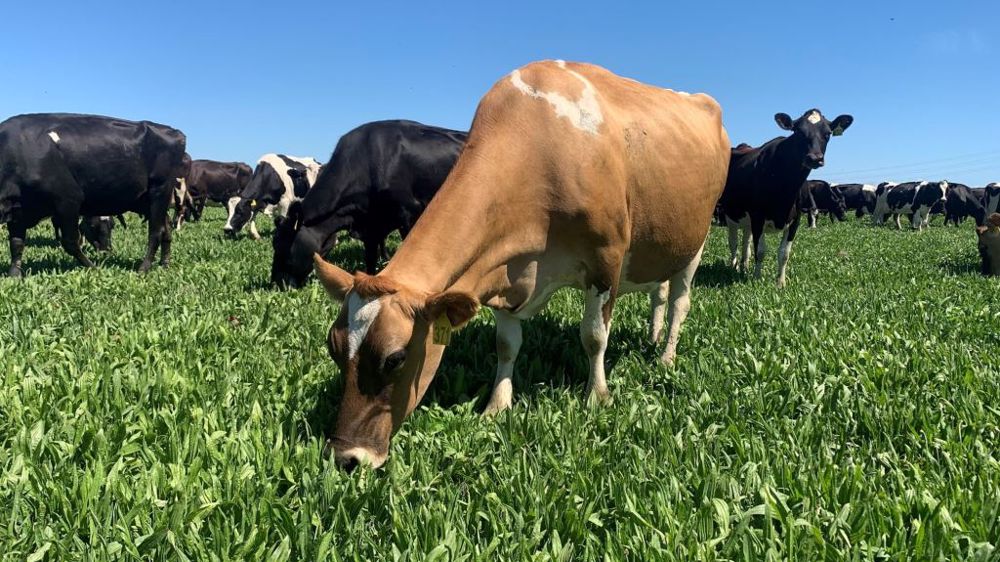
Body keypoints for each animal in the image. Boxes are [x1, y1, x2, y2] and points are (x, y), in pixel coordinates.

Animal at [0, 113, 186, 276]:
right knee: (166, 227)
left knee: (156, 231)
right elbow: (16, 243)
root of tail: (173, 131)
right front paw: (14, 275)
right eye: (94, 227)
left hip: (160, 191)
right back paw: (164, 263)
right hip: (145, 200)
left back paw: (144, 268)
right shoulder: (18, 209)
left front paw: (93, 267)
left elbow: (70, 242)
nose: (106, 251)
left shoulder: (68, 200)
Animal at [313, 60, 730, 470]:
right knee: (659, 292)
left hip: (695, 242)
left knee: (679, 302)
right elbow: (506, 344)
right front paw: (497, 405)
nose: (346, 457)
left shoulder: (606, 260)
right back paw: (654, 336)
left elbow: (594, 336)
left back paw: (666, 356)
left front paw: (597, 396)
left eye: (395, 358)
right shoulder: (502, 272)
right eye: (334, 348)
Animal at [718, 109, 853, 286]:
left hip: (747, 219)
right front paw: (757, 279)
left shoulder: (795, 218)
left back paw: (744, 267)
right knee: (733, 243)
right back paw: (734, 267)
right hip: (731, 214)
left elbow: (784, 253)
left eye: (828, 133)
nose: (815, 158)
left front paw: (780, 283)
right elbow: (760, 251)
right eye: (798, 132)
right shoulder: (758, 216)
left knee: (745, 242)